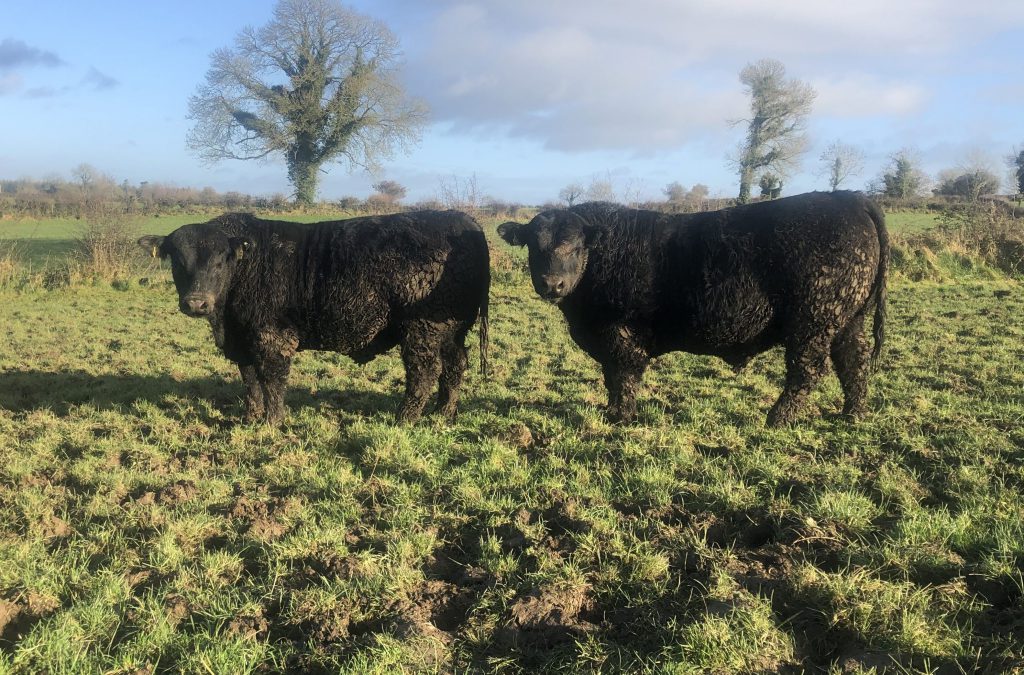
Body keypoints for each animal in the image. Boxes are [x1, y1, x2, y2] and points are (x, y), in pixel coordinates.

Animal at [138, 211, 489, 425]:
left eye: (221, 260)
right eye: (176, 260)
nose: (196, 303)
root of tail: (462, 219)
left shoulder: (272, 337)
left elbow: (271, 380)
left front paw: (272, 422)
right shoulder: (243, 340)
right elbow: (250, 381)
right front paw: (250, 418)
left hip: (422, 329)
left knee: (424, 372)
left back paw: (403, 419)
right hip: (452, 330)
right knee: (455, 366)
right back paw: (443, 413)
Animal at [498, 191, 888, 426]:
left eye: (576, 246)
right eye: (534, 245)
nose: (552, 284)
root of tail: (847, 197)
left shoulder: (618, 333)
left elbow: (622, 375)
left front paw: (621, 417)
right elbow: (611, 376)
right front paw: (612, 411)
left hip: (814, 320)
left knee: (807, 371)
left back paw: (777, 418)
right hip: (846, 319)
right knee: (854, 361)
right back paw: (854, 414)